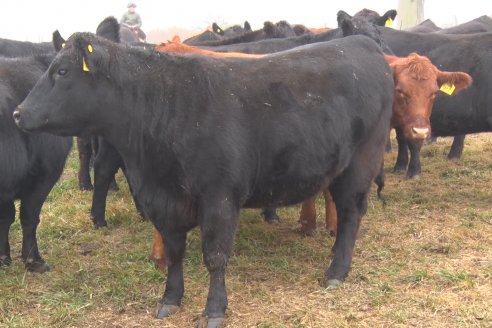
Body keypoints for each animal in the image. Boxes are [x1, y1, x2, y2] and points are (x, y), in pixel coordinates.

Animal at [13, 32, 394, 326]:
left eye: (62, 71)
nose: (18, 113)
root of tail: (361, 42)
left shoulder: (220, 197)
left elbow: (215, 255)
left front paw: (214, 310)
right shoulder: (165, 201)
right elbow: (174, 251)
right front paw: (170, 299)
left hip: (361, 162)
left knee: (350, 214)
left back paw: (336, 271)